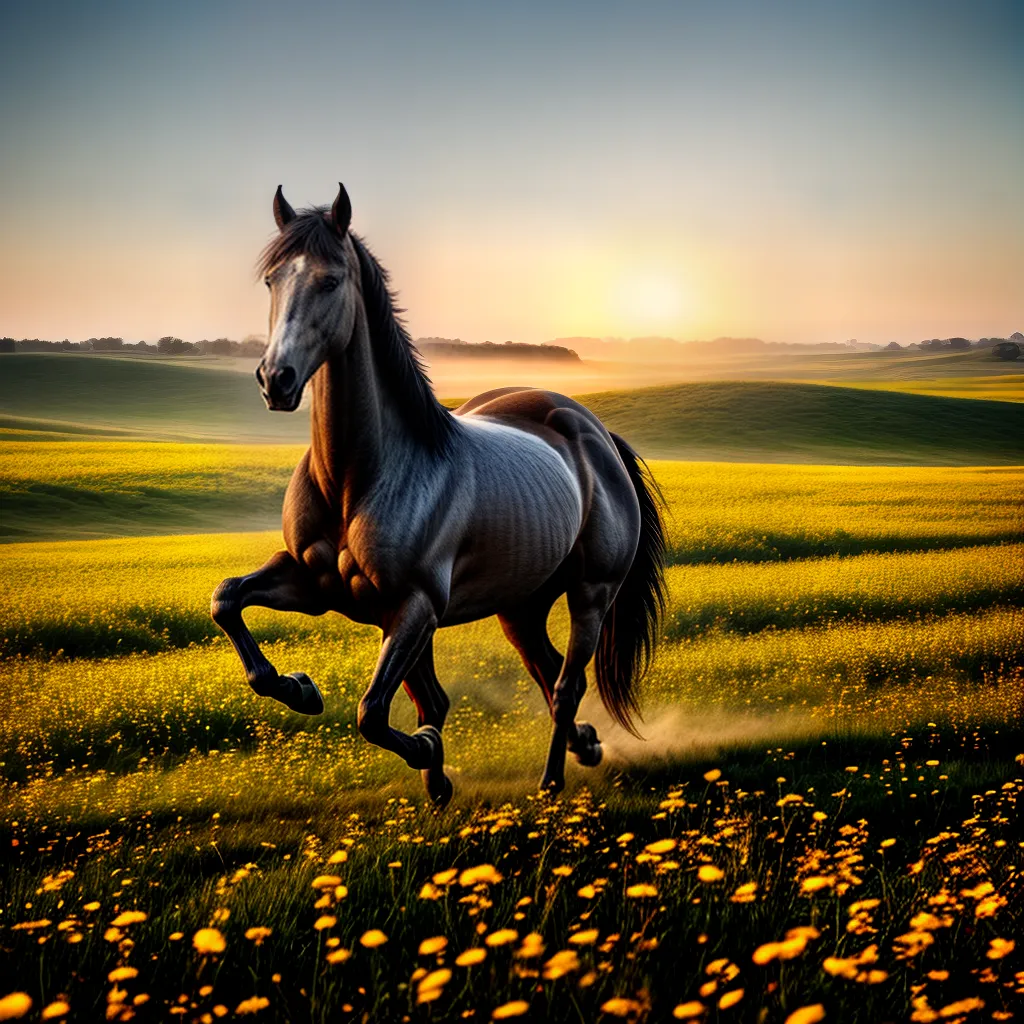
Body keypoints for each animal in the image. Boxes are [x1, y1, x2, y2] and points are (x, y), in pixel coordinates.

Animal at [211, 183, 665, 806]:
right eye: (271, 280)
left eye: (330, 280)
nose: (275, 380)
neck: (358, 478)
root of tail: (590, 431)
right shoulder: (315, 583)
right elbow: (228, 601)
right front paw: (301, 688)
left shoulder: (416, 607)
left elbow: (376, 712)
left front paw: (428, 753)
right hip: (520, 607)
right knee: (547, 675)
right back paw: (587, 745)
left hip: (591, 595)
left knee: (566, 685)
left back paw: (551, 782)